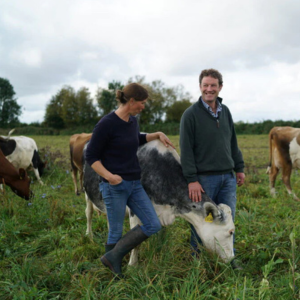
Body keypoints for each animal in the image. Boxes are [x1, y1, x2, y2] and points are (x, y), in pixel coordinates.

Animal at [83, 139, 236, 264]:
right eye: (231, 232)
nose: (231, 258)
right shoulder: (135, 212)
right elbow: (135, 243)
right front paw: (132, 266)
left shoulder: (164, 214)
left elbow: (162, 236)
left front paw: (160, 252)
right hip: (86, 193)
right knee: (89, 213)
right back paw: (89, 236)